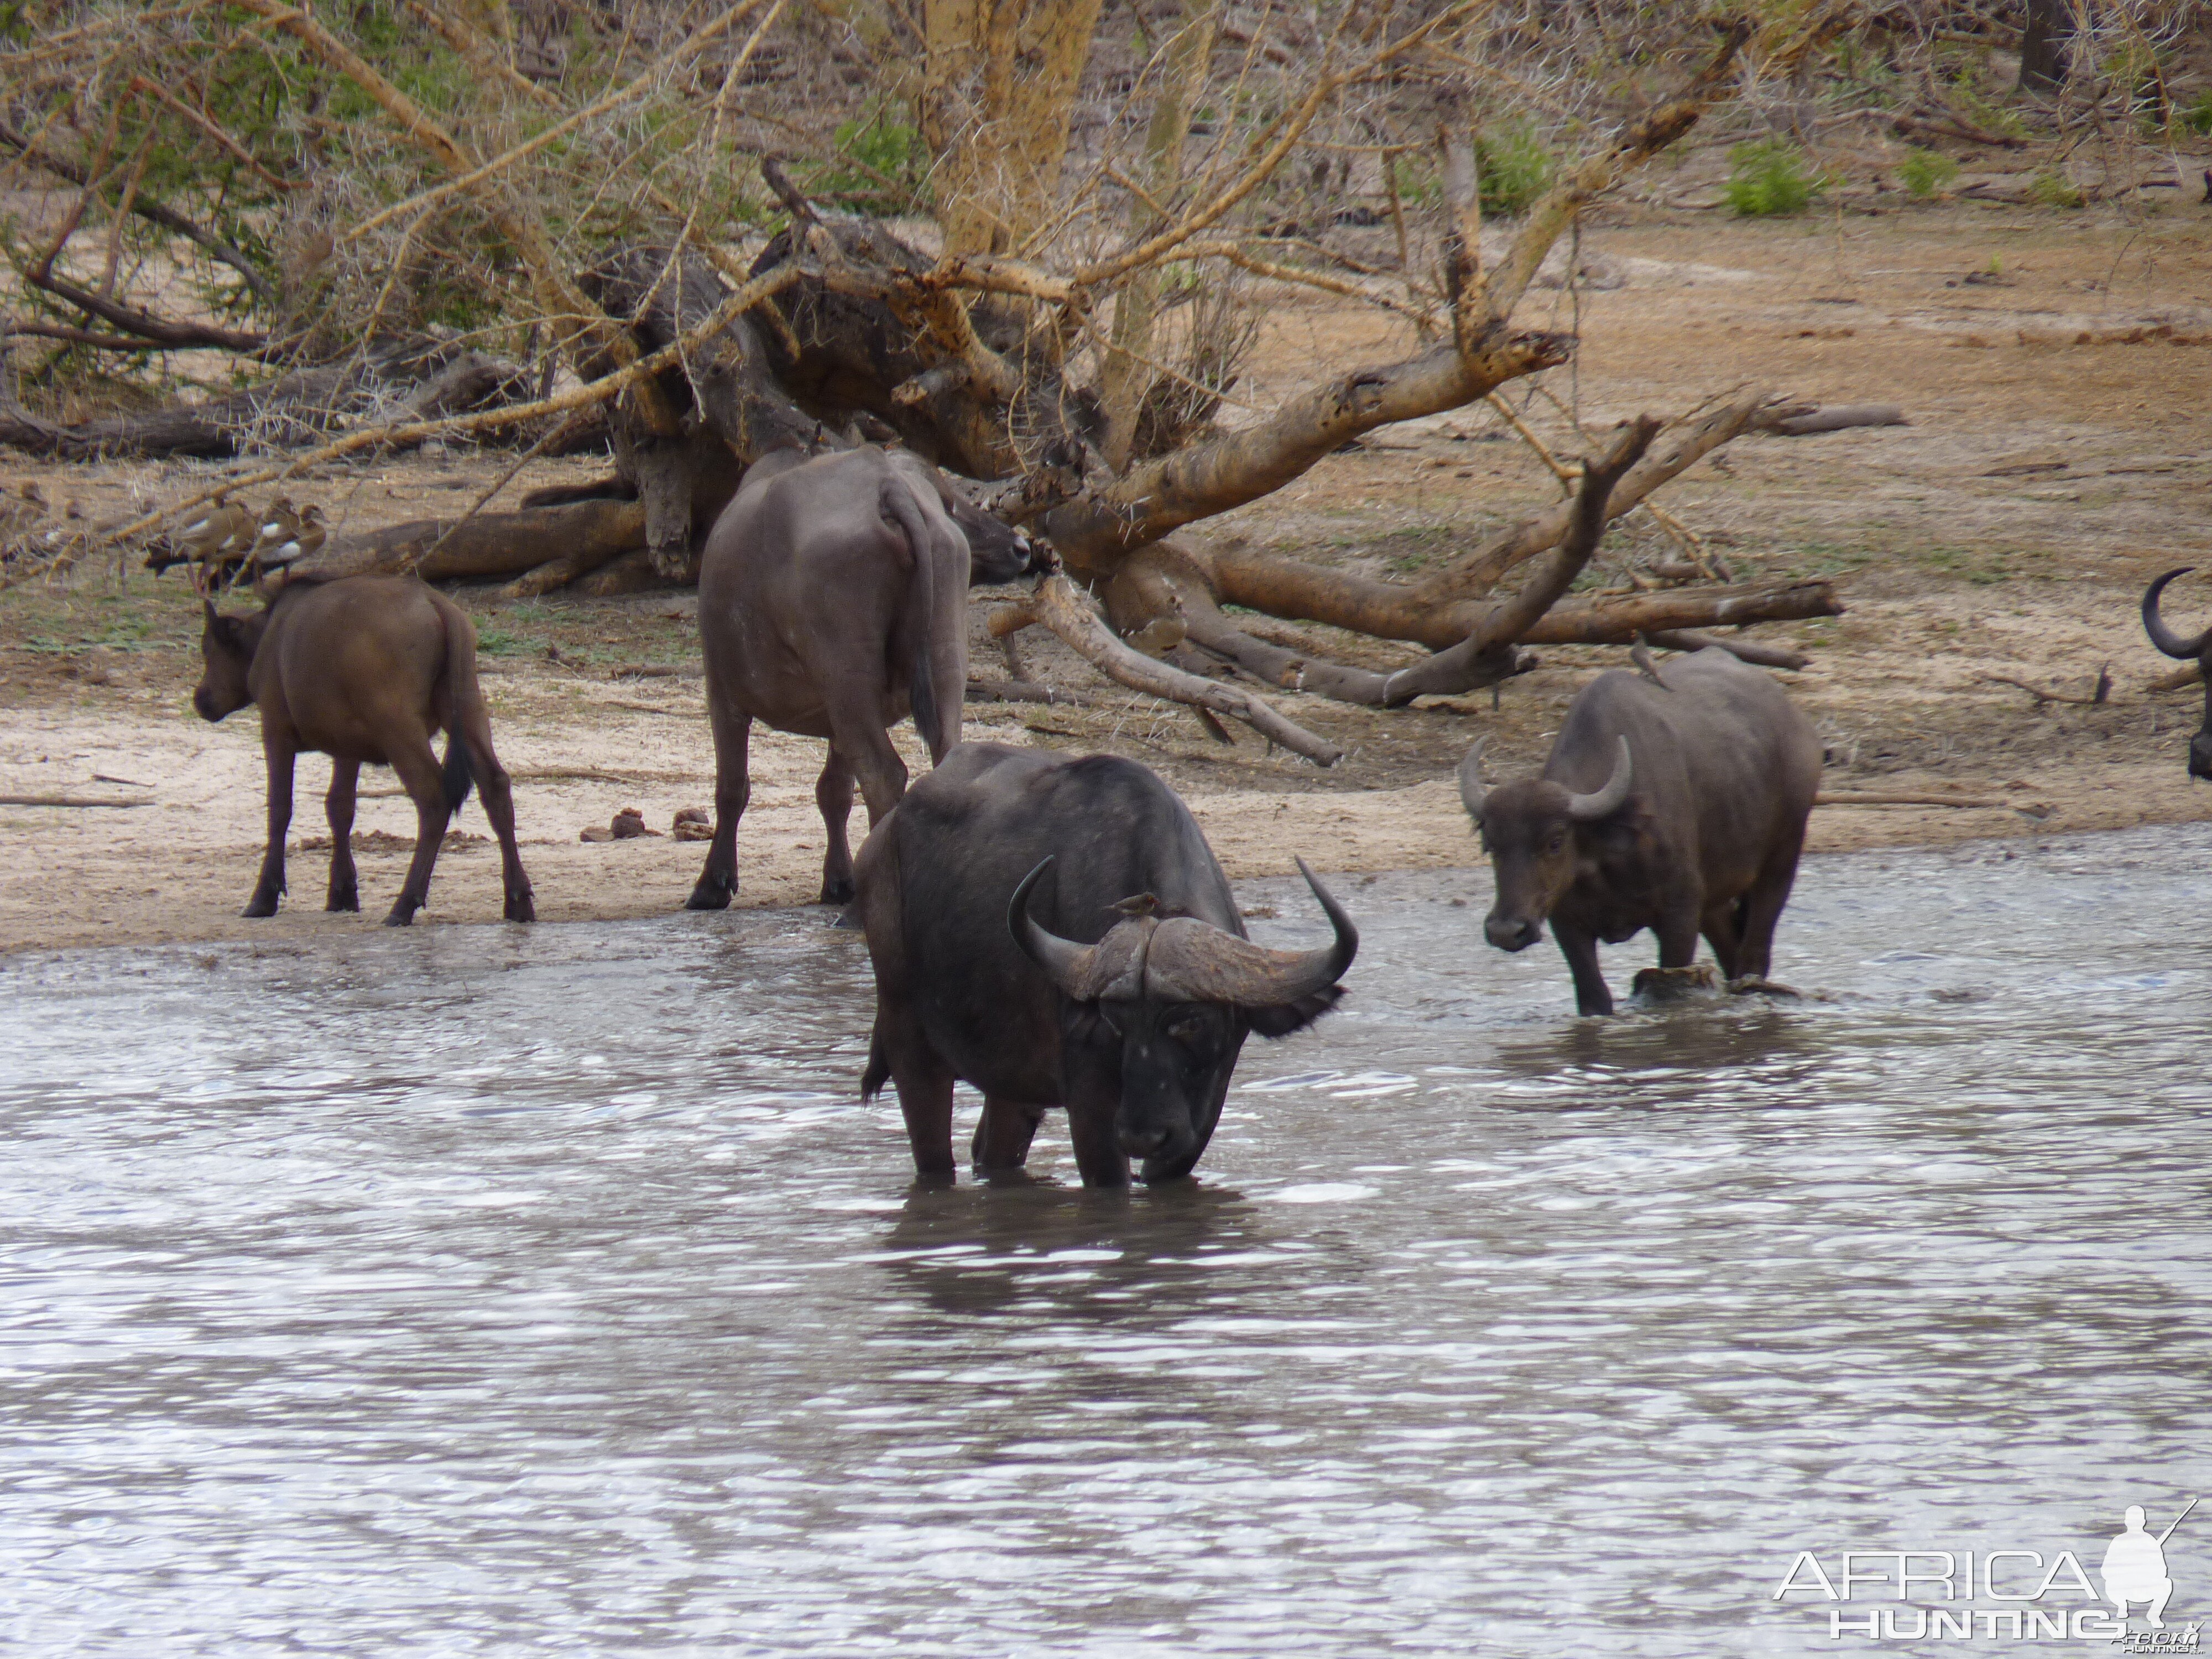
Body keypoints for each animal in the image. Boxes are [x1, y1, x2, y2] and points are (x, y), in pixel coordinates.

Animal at [194, 575, 531, 929]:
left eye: (209, 650)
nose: (200, 699)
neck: (267, 637)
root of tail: (436, 604)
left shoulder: (275, 729)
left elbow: (280, 809)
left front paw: (264, 895)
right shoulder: (346, 744)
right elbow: (340, 808)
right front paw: (342, 891)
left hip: (397, 723)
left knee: (434, 796)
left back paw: (405, 903)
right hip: (467, 704)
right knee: (495, 785)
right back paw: (518, 899)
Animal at [681, 445, 1044, 911]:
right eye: (949, 503)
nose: (1020, 548)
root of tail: (886, 484)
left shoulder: (723, 695)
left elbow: (732, 787)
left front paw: (713, 884)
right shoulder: (837, 720)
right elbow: (834, 792)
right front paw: (838, 881)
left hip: (846, 680)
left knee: (883, 775)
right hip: (941, 664)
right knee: (945, 763)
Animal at [854, 748, 1354, 1186]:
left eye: (1191, 1023)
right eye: (1116, 1025)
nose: (1143, 1137)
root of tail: (882, 837)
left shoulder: (1204, 1107)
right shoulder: (1092, 1107)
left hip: (1010, 1077)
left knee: (995, 1149)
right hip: (908, 1039)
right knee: (933, 1152)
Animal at [1469, 646, 1814, 1013]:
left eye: (1555, 841)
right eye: (1490, 844)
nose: (1506, 931)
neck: (1606, 848)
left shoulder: (1679, 915)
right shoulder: (1567, 923)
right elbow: (1594, 996)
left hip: (1781, 860)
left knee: (1755, 952)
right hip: (1714, 896)